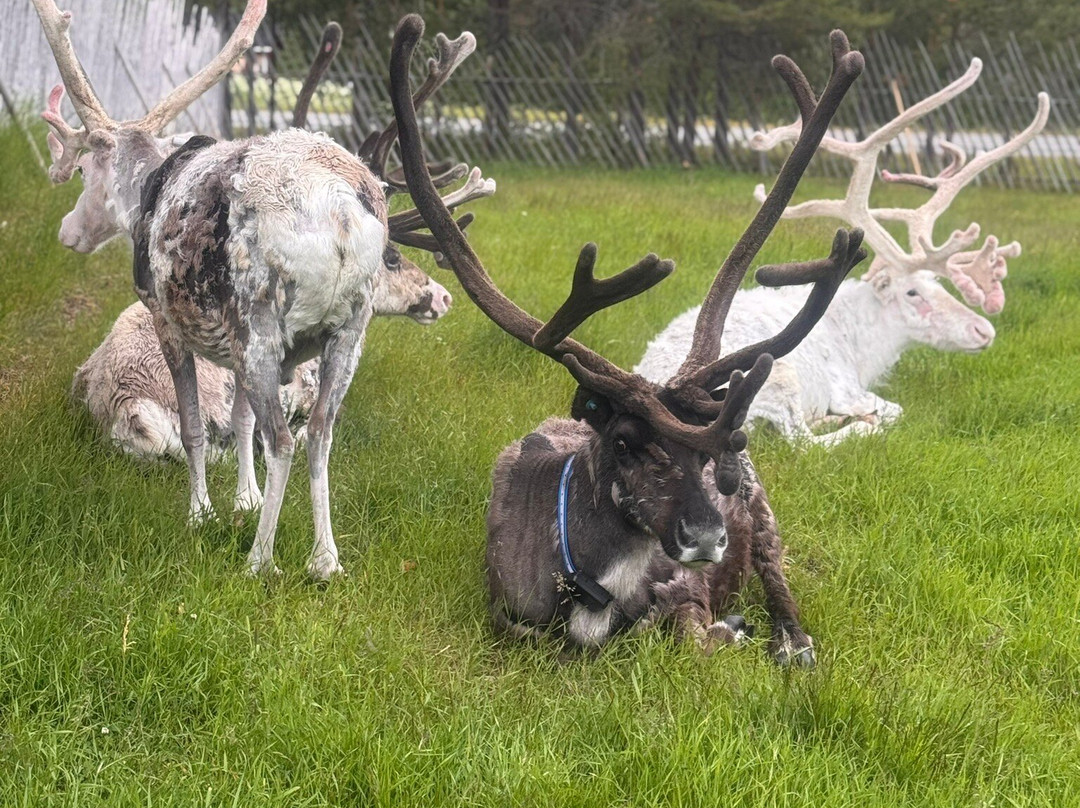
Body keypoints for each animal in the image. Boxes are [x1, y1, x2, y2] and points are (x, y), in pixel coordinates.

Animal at [34, 0, 490, 580]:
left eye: (83, 170)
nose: (68, 231)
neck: (144, 189)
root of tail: (339, 209)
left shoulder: (169, 321)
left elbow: (197, 429)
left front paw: (202, 514)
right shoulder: (236, 353)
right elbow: (241, 417)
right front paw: (242, 501)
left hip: (259, 321)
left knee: (282, 440)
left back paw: (260, 560)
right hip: (348, 333)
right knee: (318, 435)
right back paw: (325, 560)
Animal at [391, 15, 867, 663]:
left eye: (707, 457)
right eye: (621, 440)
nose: (705, 536)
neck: (589, 584)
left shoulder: (687, 592)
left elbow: (689, 634)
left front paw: (731, 627)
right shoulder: (504, 613)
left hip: (765, 514)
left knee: (780, 583)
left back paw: (791, 642)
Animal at [636, 60, 1050, 446]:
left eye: (939, 284)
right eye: (912, 292)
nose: (984, 330)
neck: (863, 350)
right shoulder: (846, 386)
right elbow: (894, 409)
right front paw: (866, 417)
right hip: (775, 379)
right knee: (802, 444)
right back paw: (856, 426)